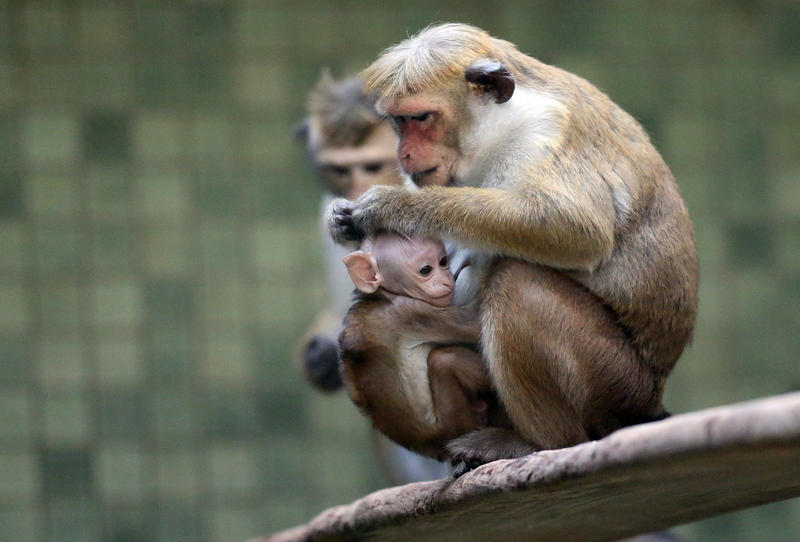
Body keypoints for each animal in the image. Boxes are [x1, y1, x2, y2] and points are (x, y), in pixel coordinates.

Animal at [328, 23, 696, 470]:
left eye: (420, 118)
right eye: (399, 122)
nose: (405, 153)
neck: (504, 123)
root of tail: (650, 400)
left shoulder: (542, 134)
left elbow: (576, 228)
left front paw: (392, 207)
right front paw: (343, 218)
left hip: (615, 382)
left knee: (518, 282)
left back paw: (539, 443)